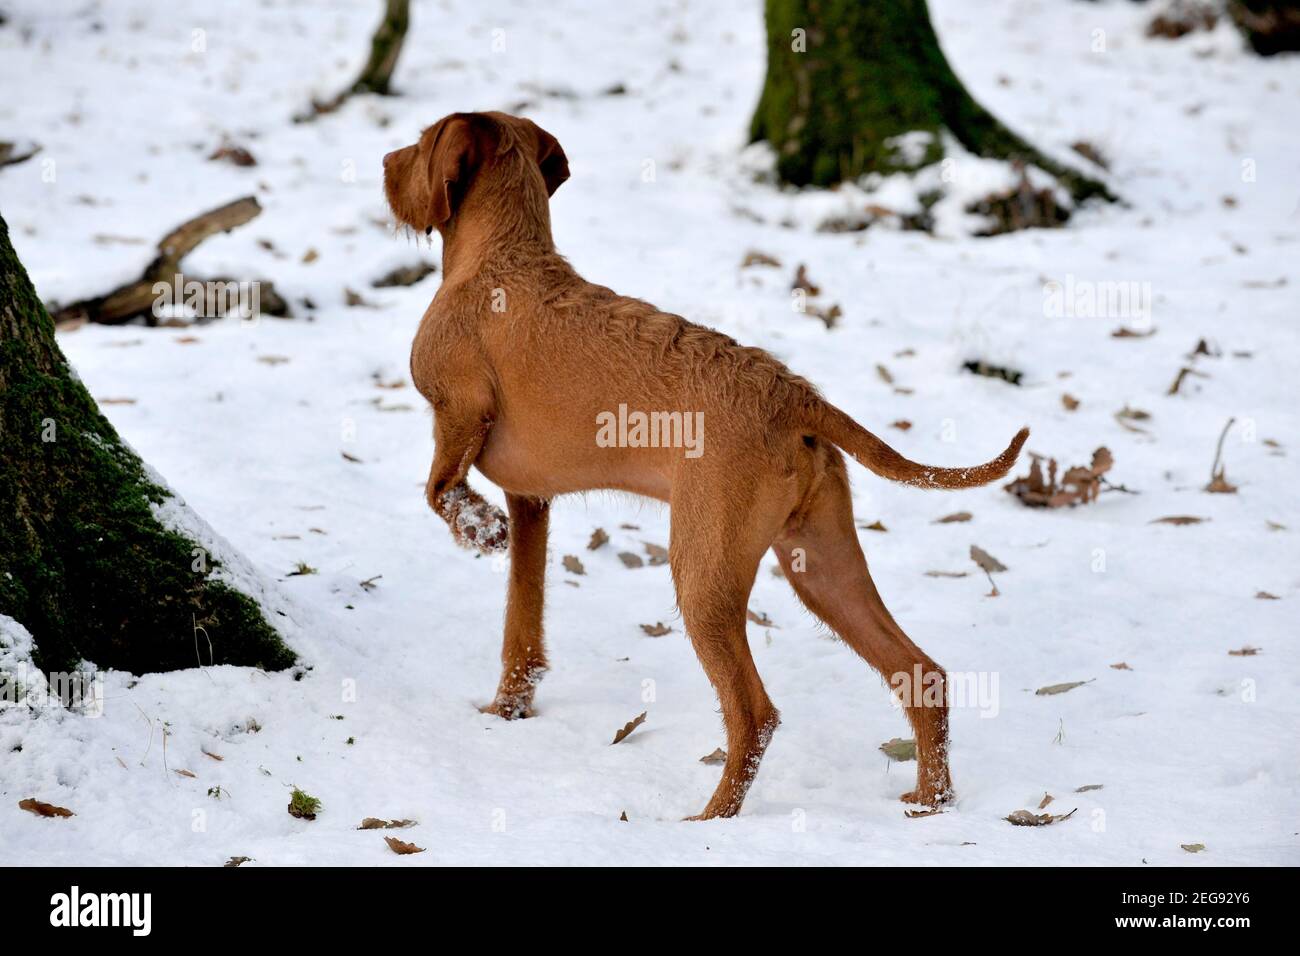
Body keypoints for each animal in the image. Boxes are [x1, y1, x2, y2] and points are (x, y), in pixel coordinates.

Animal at [379, 110, 1029, 816]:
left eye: (421, 142)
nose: (385, 161)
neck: (503, 255)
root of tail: (795, 396)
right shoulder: (534, 501)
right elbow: (520, 628)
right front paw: (506, 711)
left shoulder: (458, 413)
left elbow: (439, 489)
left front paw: (480, 529)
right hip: (823, 564)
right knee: (921, 674)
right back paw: (930, 801)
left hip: (703, 576)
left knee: (754, 713)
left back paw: (711, 819)